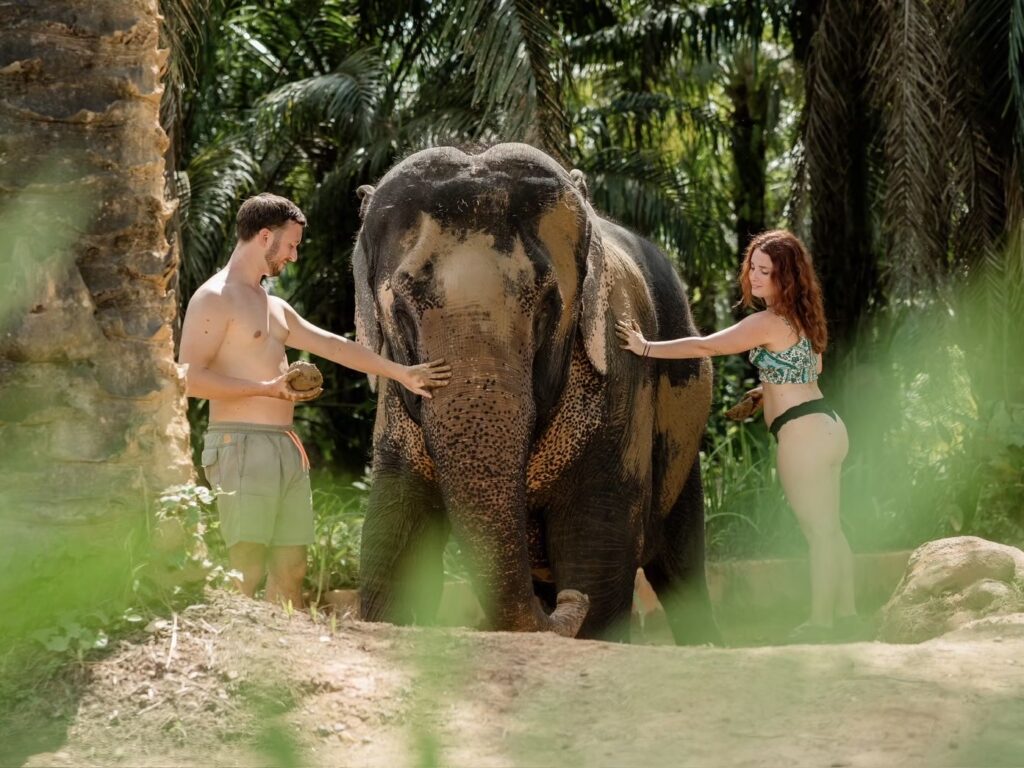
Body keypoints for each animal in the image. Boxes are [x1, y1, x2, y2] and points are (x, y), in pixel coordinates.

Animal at [353, 142, 715, 643]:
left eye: (546, 305)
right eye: (402, 309)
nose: (568, 602)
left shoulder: (620, 381)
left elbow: (596, 550)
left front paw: (584, 600)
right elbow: (391, 544)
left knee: (681, 570)